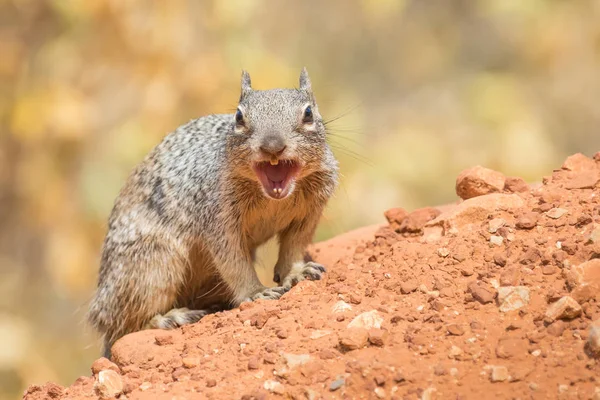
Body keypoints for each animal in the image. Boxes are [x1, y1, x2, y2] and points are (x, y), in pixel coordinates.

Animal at [86, 68, 338, 356]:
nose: (273, 146)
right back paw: (171, 318)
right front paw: (256, 292)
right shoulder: (218, 219)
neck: (272, 198)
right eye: (239, 117)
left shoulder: (308, 215)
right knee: (126, 327)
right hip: (153, 267)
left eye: (308, 113)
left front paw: (297, 272)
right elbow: (233, 262)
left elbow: (294, 247)